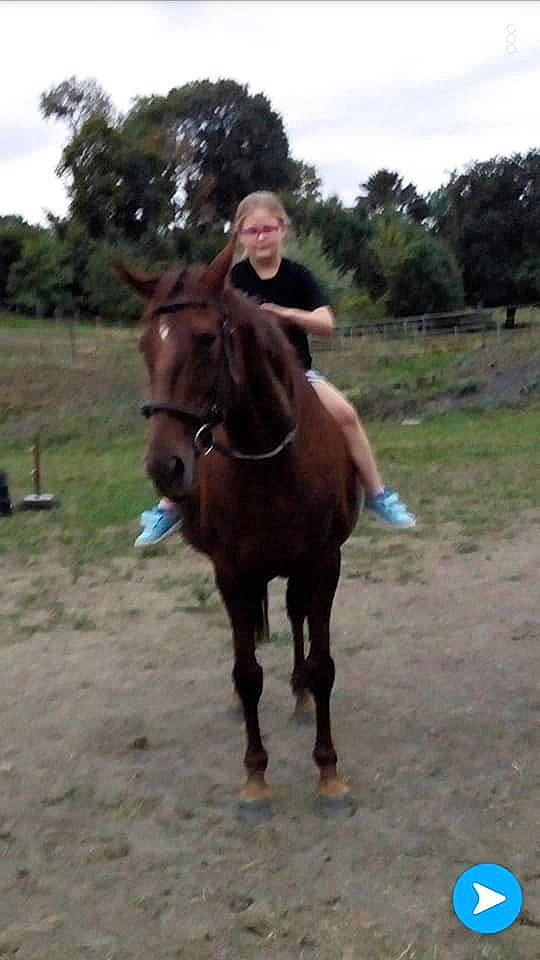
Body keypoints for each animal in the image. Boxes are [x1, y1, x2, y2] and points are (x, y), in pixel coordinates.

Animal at [117, 239, 361, 814]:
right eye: (144, 345)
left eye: (207, 339)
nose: (165, 467)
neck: (269, 459)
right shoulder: (230, 571)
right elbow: (247, 673)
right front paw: (255, 778)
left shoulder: (324, 562)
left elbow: (323, 664)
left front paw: (328, 772)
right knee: (250, 635)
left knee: (293, 618)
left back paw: (298, 693)